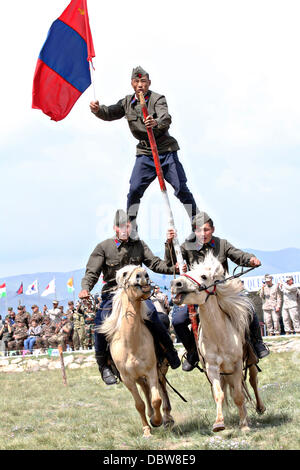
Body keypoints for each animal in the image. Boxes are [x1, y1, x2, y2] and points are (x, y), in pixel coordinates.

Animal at [98, 264, 173, 436]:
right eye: (125, 273)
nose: (142, 275)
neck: (131, 343)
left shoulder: (151, 371)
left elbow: (156, 399)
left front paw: (157, 421)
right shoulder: (128, 378)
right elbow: (139, 404)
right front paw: (146, 430)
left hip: (160, 370)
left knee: (162, 390)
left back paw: (166, 418)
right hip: (138, 377)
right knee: (145, 390)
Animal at [171, 253, 264, 434]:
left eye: (204, 276)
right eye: (187, 272)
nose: (176, 284)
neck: (219, 335)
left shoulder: (236, 365)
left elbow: (239, 395)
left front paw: (244, 425)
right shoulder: (213, 368)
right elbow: (219, 394)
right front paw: (219, 423)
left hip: (251, 360)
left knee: (253, 381)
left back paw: (260, 408)